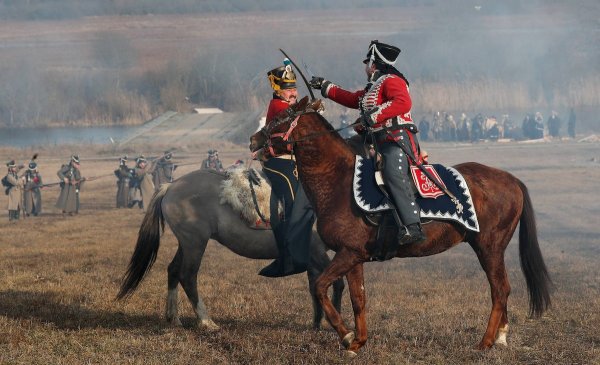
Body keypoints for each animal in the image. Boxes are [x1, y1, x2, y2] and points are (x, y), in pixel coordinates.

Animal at [117, 168, 342, 330]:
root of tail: (170, 186)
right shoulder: (318, 253)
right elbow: (336, 284)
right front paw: (336, 324)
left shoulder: (313, 257)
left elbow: (315, 287)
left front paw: (317, 323)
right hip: (195, 243)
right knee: (187, 276)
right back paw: (206, 321)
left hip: (187, 244)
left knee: (173, 270)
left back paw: (174, 318)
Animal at [250, 108, 552, 356]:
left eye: (280, 117)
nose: (254, 140)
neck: (338, 181)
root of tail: (511, 179)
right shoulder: (353, 256)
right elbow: (358, 298)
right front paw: (357, 342)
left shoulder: (347, 254)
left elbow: (320, 286)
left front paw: (345, 335)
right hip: (491, 250)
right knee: (501, 288)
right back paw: (500, 338)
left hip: (489, 248)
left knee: (499, 290)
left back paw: (485, 342)